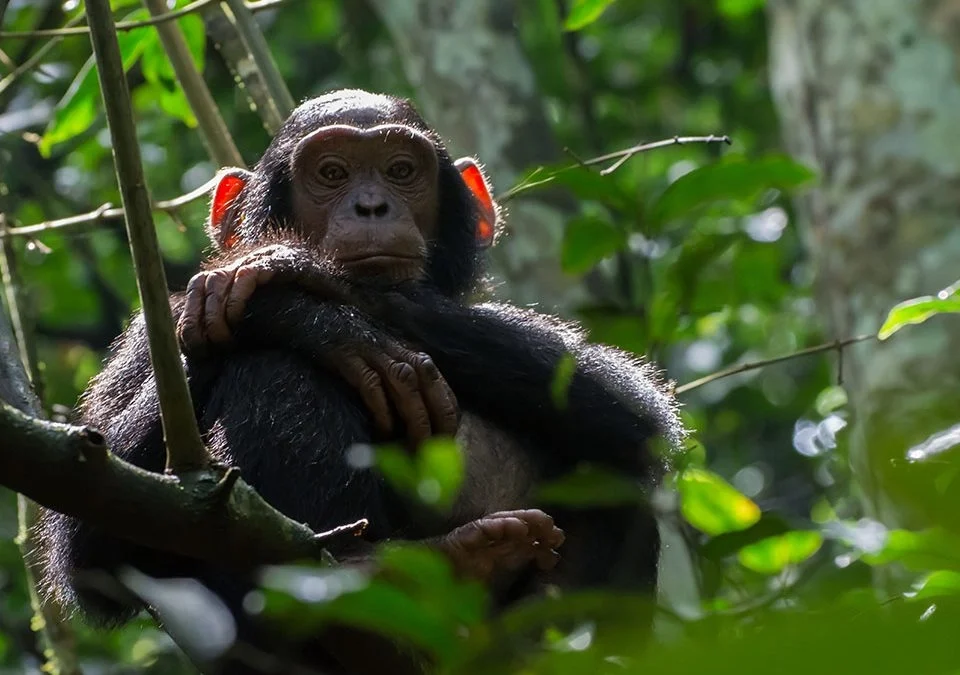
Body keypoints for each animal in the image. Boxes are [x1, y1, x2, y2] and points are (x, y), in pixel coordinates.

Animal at [38, 89, 683, 674]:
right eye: (331, 173)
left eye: (401, 171)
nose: (372, 206)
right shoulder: (146, 337)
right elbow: (91, 538)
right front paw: (313, 321)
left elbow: (633, 410)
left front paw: (293, 275)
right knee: (272, 369)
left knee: (616, 476)